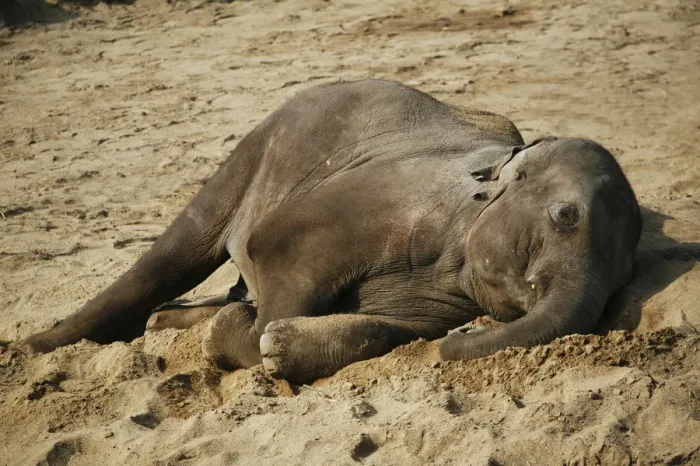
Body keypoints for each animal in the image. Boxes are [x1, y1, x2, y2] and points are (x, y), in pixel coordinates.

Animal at [20, 79, 641, 383]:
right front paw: (251, 336)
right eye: (565, 217)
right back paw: (35, 348)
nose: (467, 334)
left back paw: (166, 325)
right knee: (176, 253)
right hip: (256, 148)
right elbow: (276, 251)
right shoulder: (366, 207)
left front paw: (276, 346)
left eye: (626, 274)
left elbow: (393, 329)